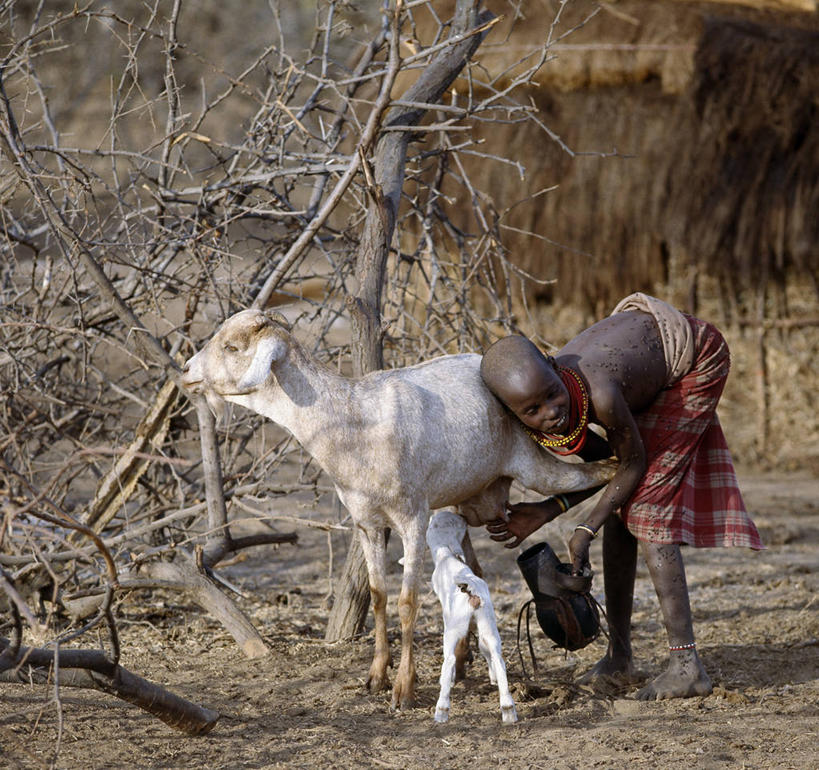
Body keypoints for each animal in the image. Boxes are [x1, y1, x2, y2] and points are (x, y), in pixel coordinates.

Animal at [181, 308, 616, 708]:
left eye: (231, 347)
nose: (185, 372)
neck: (351, 425)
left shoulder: (412, 517)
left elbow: (408, 602)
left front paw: (404, 688)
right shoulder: (367, 523)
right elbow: (377, 596)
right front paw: (376, 676)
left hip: (533, 461)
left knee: (603, 471)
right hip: (469, 495)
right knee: (473, 568)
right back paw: (462, 658)